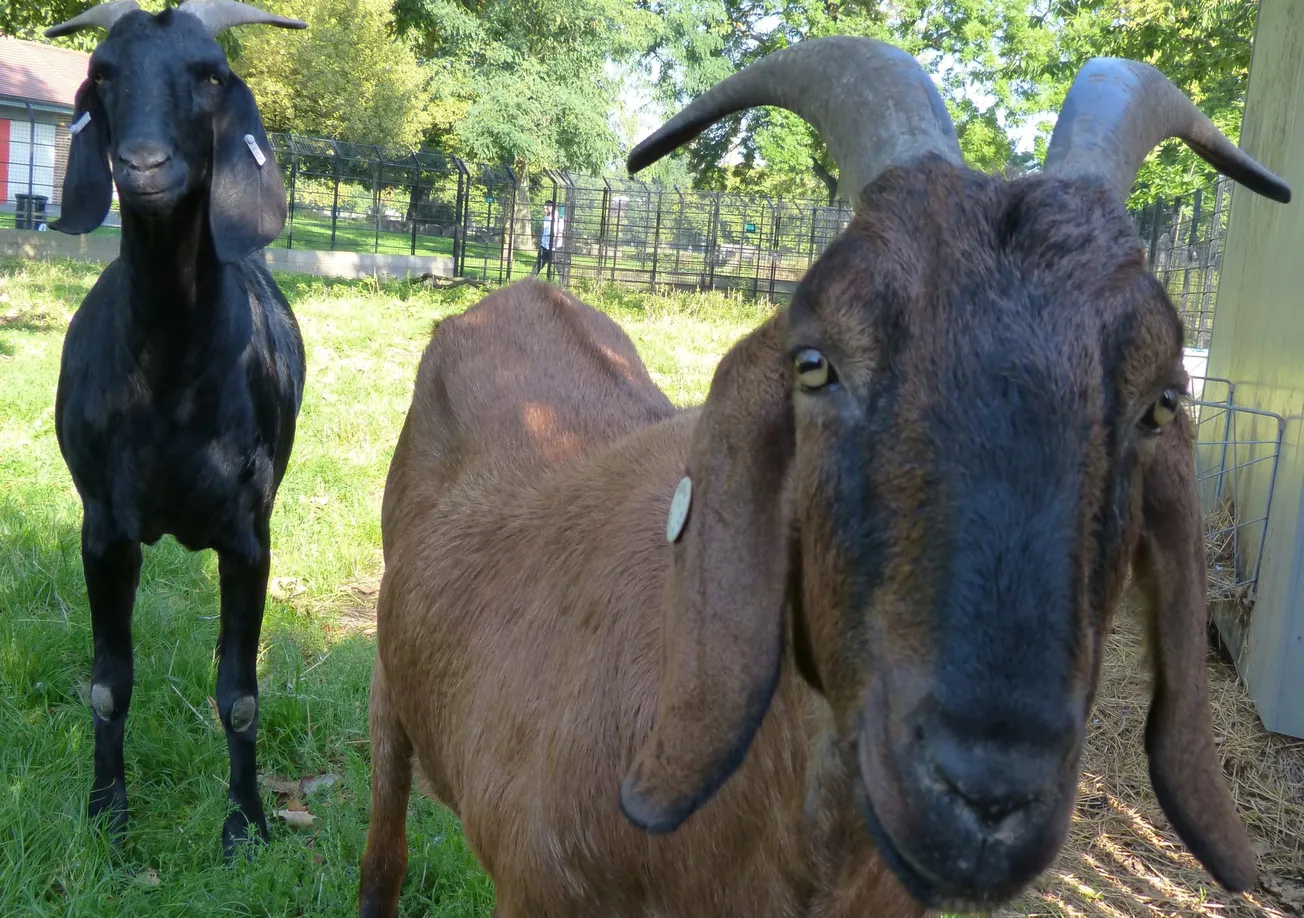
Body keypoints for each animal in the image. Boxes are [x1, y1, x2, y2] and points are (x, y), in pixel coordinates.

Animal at [43, 0, 306, 857]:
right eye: (104, 73)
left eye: (210, 75)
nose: (145, 166)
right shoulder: (103, 528)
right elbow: (106, 685)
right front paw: (108, 815)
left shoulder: (249, 536)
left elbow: (241, 693)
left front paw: (246, 824)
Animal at [358, 38, 1291, 917]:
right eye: (815, 363)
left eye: (1161, 400)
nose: (986, 797)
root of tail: (513, 294)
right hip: (389, 681)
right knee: (384, 842)